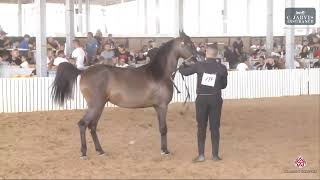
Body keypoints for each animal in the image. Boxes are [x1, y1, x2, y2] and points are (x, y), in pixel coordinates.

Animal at [52, 31, 198, 159]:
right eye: (189, 44)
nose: (198, 58)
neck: (159, 73)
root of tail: (83, 72)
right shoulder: (162, 106)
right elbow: (163, 128)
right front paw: (165, 151)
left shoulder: (158, 107)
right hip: (95, 106)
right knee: (83, 124)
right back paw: (84, 153)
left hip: (99, 106)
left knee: (92, 127)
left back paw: (100, 151)